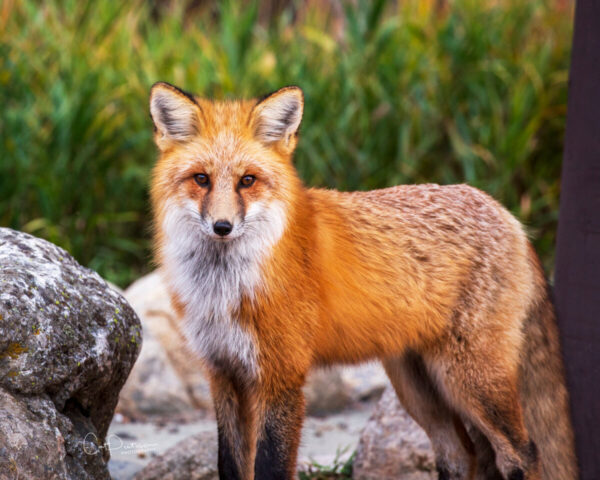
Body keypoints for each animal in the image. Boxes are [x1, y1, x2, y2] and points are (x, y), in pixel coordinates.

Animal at [149, 82, 576, 480]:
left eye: (247, 180)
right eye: (201, 179)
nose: (222, 226)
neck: (225, 290)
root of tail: (506, 213)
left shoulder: (281, 376)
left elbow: (271, 467)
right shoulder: (223, 374)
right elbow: (230, 465)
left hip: (470, 379)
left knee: (523, 452)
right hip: (419, 388)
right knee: (461, 454)